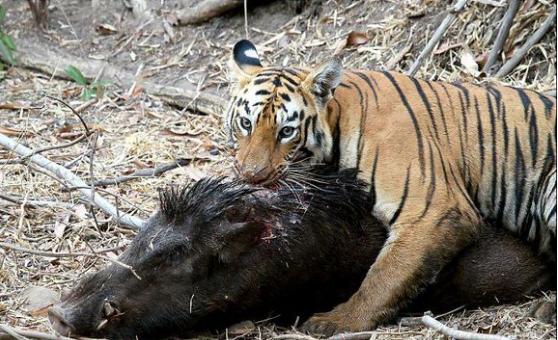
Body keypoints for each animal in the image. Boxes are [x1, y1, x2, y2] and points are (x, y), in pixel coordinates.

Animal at [225, 39, 556, 334]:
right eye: (246, 124)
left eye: (286, 132)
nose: (253, 176)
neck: (338, 119)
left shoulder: (434, 210)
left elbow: (384, 277)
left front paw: (337, 321)